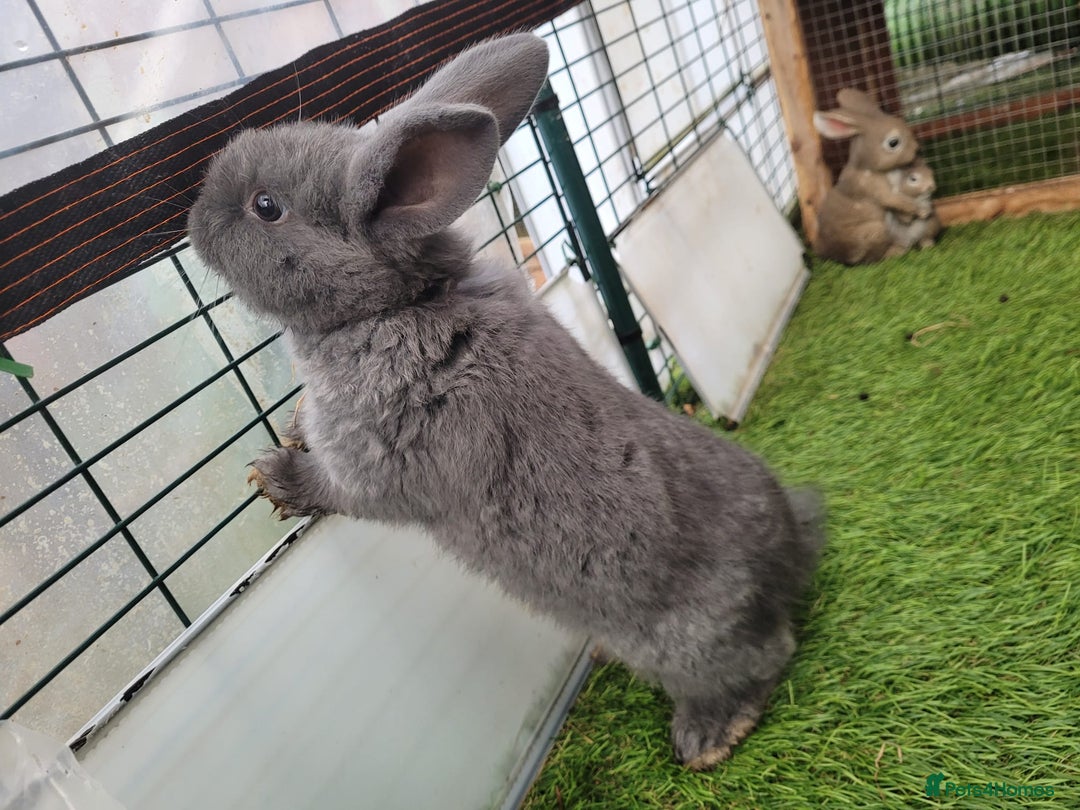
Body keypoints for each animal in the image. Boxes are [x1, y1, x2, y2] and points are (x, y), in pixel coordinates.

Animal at [188, 33, 824, 771]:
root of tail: (790, 563)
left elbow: (339, 490)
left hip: (690, 645)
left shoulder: (376, 464)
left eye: (266, 207)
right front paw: (291, 429)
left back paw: (709, 736)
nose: (194, 219)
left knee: (766, 658)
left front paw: (276, 477)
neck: (401, 302)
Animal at [812, 88, 929, 265]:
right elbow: (896, 200)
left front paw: (908, 217)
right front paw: (921, 211)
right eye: (893, 142)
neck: (866, 166)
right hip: (876, 232)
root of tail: (829, 252)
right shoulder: (876, 187)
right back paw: (893, 252)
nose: (917, 149)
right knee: (870, 260)